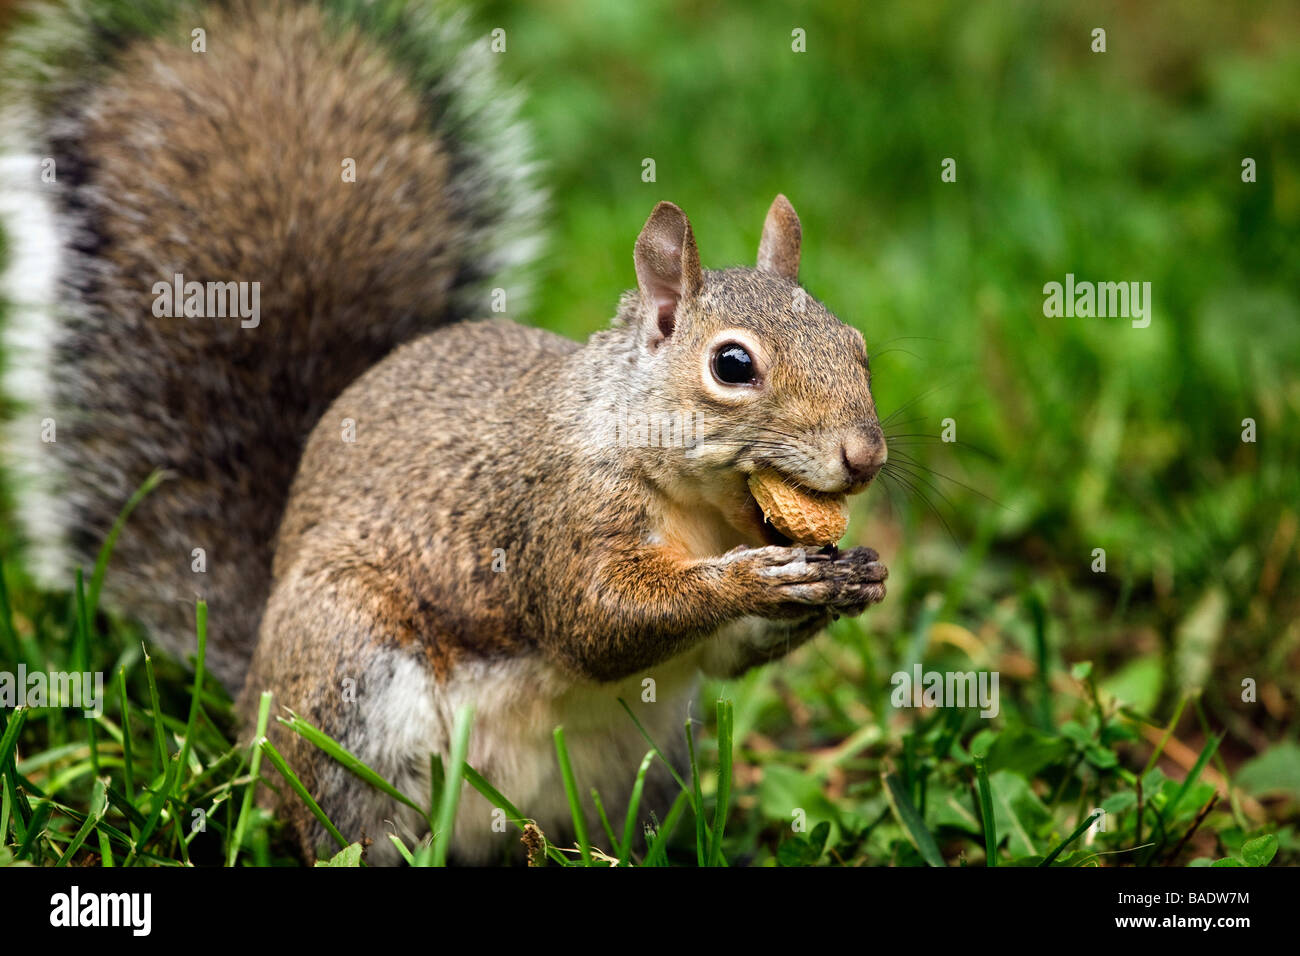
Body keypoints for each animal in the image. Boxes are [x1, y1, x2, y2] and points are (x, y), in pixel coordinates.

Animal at [0, 0, 888, 864]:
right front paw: (755, 579)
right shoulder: (556, 513)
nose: (866, 456)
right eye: (732, 365)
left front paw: (857, 575)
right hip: (347, 682)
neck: (699, 506)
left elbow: (726, 652)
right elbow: (598, 621)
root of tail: (253, 683)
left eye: (858, 346)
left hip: (644, 766)